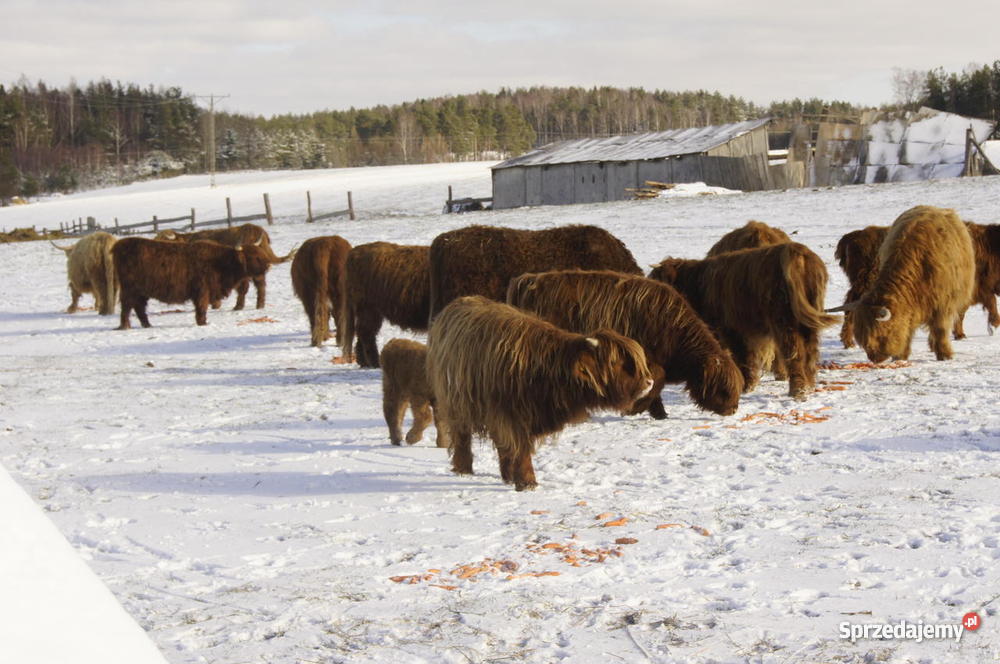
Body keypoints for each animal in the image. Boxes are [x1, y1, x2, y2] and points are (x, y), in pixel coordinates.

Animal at [112, 237, 272, 329]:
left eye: (260, 253)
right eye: (254, 256)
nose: (268, 265)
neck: (221, 261)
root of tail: (119, 245)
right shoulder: (202, 291)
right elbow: (201, 307)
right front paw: (202, 322)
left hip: (140, 292)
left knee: (139, 307)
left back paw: (147, 325)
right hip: (129, 289)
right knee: (127, 307)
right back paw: (125, 326)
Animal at [426, 296, 653, 491]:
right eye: (615, 362)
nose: (648, 382)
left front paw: (516, 478)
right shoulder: (510, 417)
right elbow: (520, 450)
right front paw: (527, 483)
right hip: (457, 406)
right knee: (462, 438)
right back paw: (464, 470)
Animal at [507, 270, 742, 419]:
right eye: (723, 388)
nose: (733, 409)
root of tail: (526, 280)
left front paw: (658, 413)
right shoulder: (647, 359)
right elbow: (656, 381)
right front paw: (636, 409)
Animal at [649, 242, 839, 399]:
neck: (697, 284)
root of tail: (796, 251)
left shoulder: (732, 330)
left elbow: (743, 357)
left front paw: (747, 386)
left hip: (785, 321)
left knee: (794, 353)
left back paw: (797, 390)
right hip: (807, 319)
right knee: (810, 351)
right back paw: (809, 385)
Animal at [832, 206, 975, 362]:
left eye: (881, 332)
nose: (875, 358)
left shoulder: (943, 304)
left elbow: (940, 329)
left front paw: (945, 355)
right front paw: (900, 357)